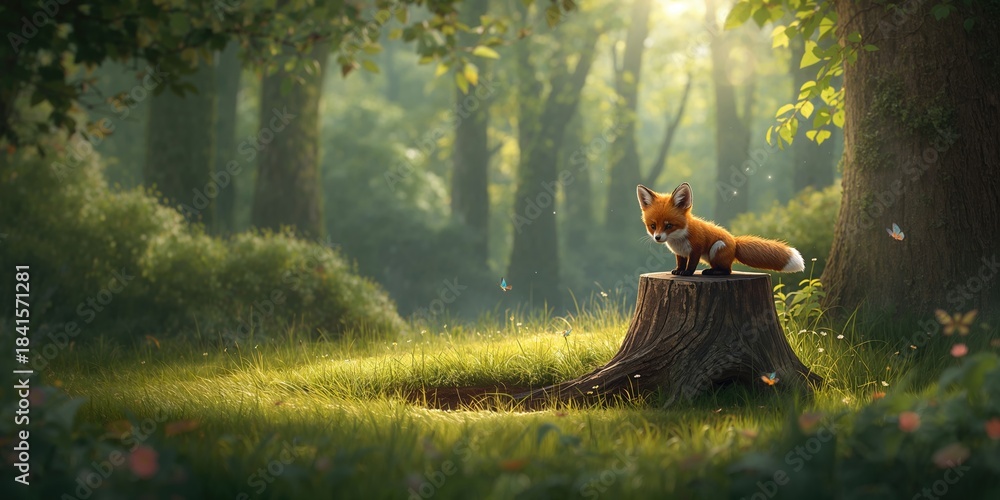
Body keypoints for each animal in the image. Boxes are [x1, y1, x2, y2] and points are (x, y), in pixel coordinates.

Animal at [637, 183, 804, 276]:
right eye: (653, 226)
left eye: (669, 225)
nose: (657, 237)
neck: (679, 239)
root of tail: (735, 242)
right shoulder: (681, 253)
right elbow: (681, 263)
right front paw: (679, 271)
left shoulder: (697, 249)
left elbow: (691, 265)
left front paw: (687, 273)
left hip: (716, 249)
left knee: (727, 271)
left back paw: (712, 272)